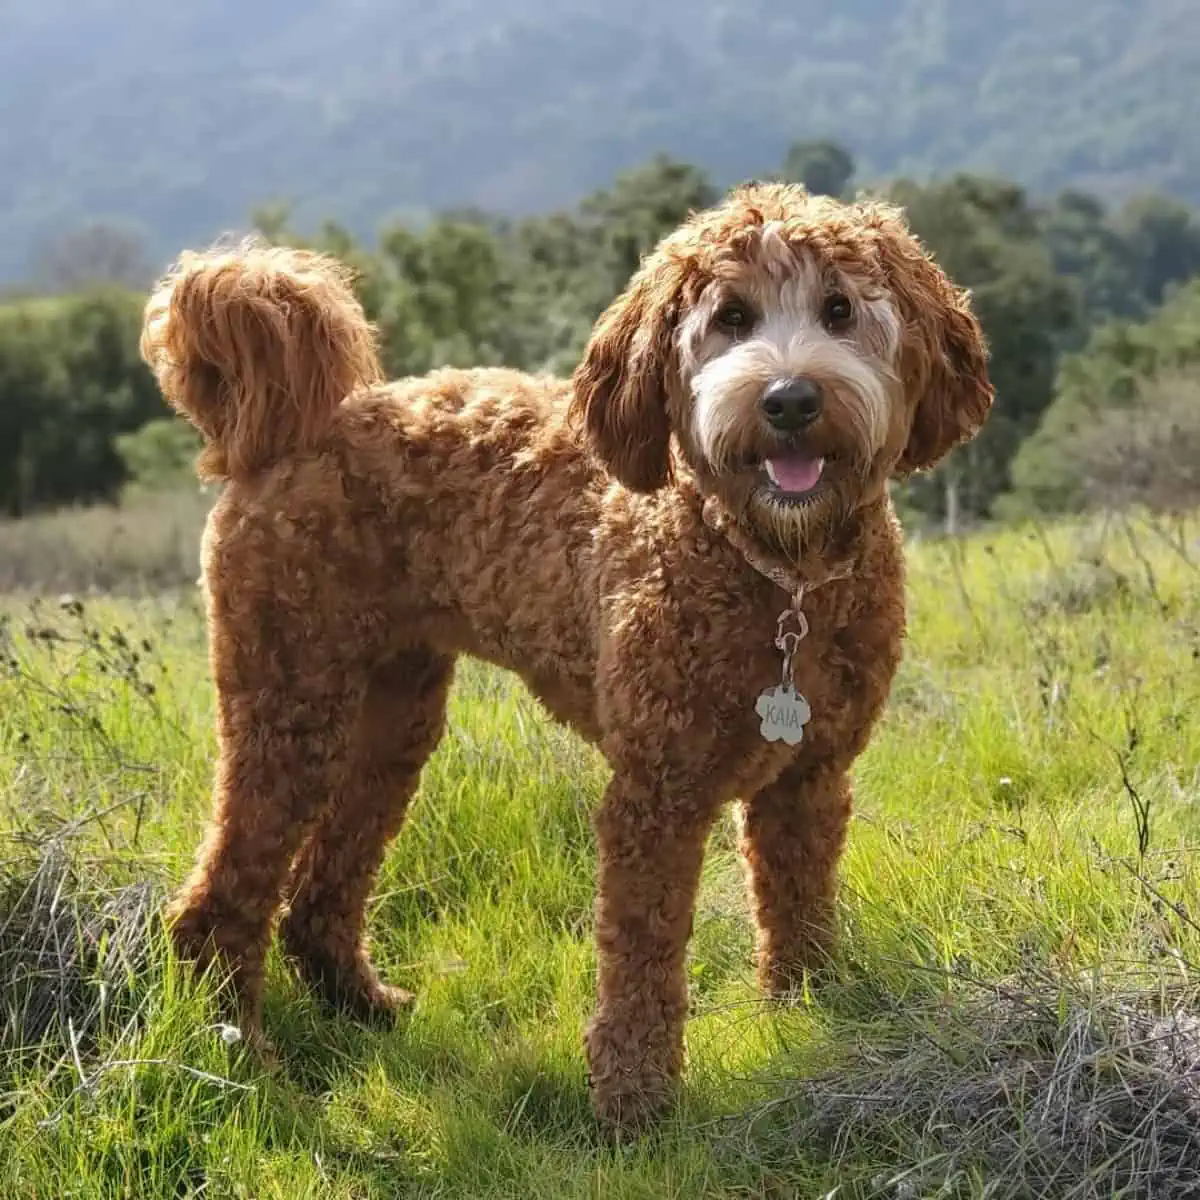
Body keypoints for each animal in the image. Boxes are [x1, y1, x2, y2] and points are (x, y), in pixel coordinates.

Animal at [140, 182, 988, 1128]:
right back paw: (245, 1055)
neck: (775, 569)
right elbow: (642, 956)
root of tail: (289, 431)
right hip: (289, 701)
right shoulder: (656, 793)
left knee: (321, 892)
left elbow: (797, 899)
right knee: (221, 902)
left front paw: (806, 1013)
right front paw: (635, 1103)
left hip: (388, 719)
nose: (790, 401)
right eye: (731, 317)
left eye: (839, 310)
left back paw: (362, 1007)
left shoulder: (810, 779)